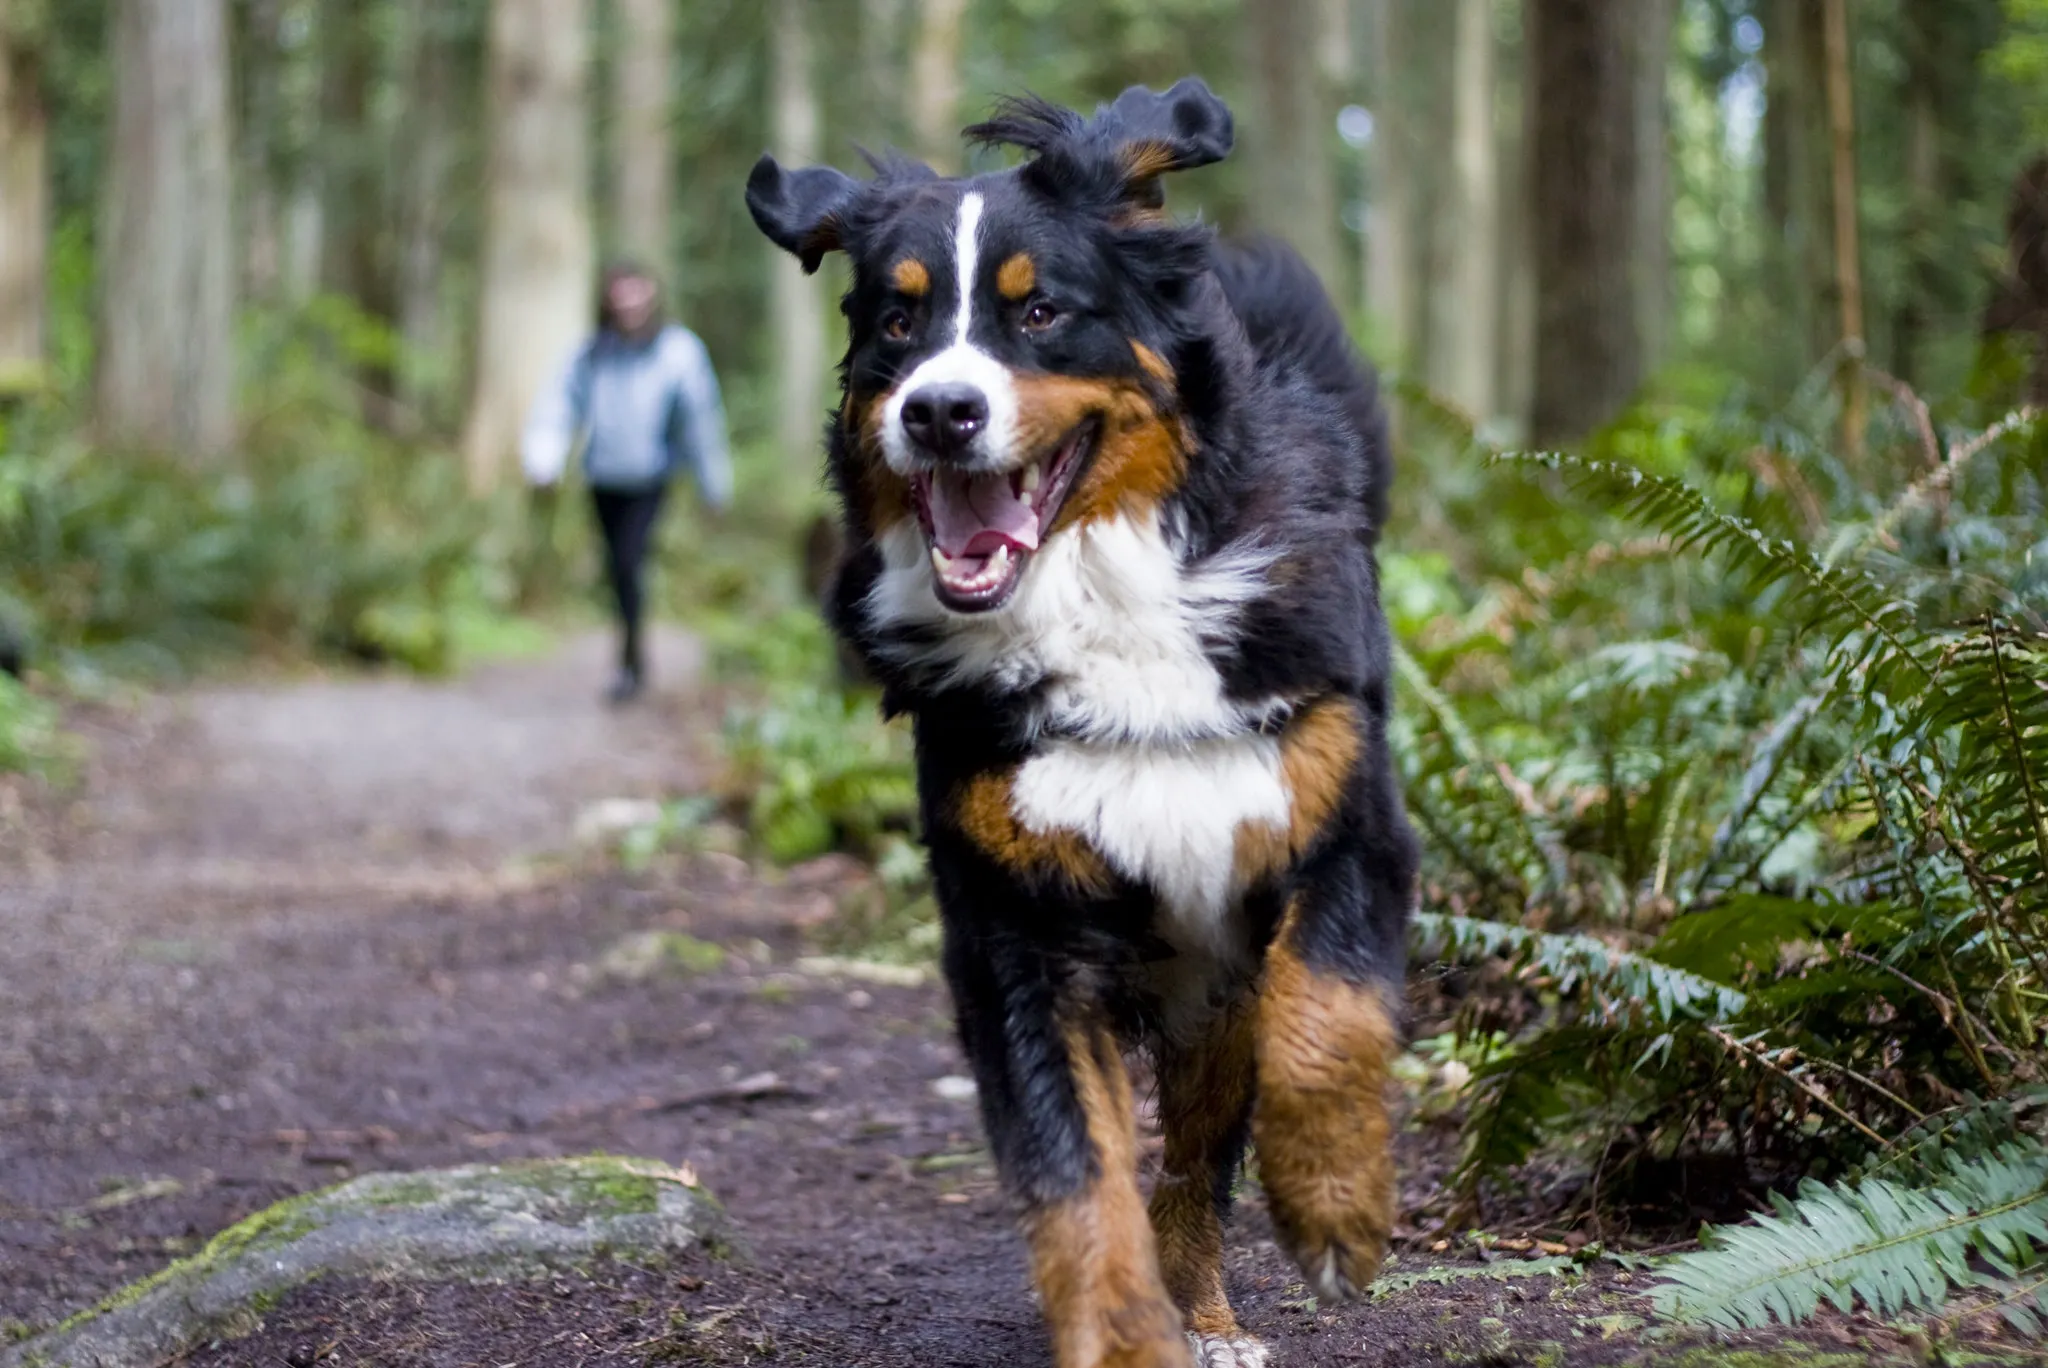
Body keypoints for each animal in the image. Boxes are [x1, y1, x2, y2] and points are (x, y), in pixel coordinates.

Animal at [745, 77, 1417, 1368]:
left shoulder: (1345, 814)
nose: (939, 412)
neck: (1103, 610)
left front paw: (1335, 1201)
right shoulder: (1014, 926)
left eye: (1041, 310)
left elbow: (1326, 1012)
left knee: (1199, 1158)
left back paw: (1209, 1310)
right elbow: (1076, 1172)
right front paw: (1119, 1335)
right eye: (895, 323)